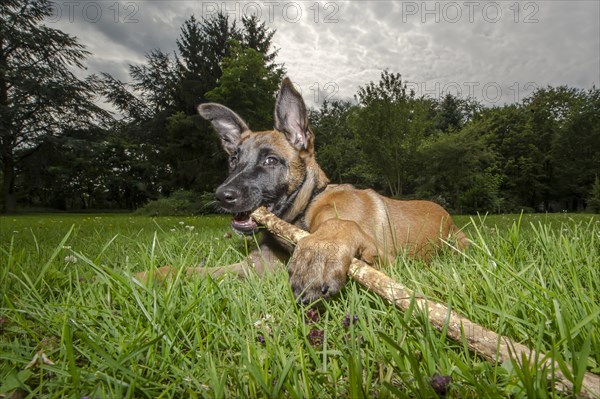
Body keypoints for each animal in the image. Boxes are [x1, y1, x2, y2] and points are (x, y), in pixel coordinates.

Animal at [138, 77, 472, 304]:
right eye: (233, 159)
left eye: (271, 160)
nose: (223, 196)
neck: (303, 210)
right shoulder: (254, 267)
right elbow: (188, 270)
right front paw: (145, 276)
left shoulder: (387, 259)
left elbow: (340, 227)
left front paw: (320, 252)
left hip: (459, 245)